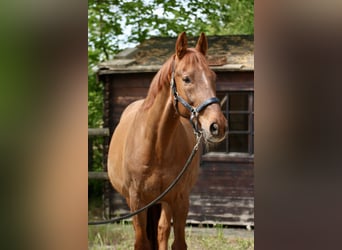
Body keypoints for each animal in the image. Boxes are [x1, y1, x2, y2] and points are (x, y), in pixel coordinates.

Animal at [107, 32, 227, 249]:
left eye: (213, 77)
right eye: (186, 78)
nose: (217, 126)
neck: (156, 145)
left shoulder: (179, 199)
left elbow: (176, 242)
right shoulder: (137, 202)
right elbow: (142, 242)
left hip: (165, 202)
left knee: (162, 230)